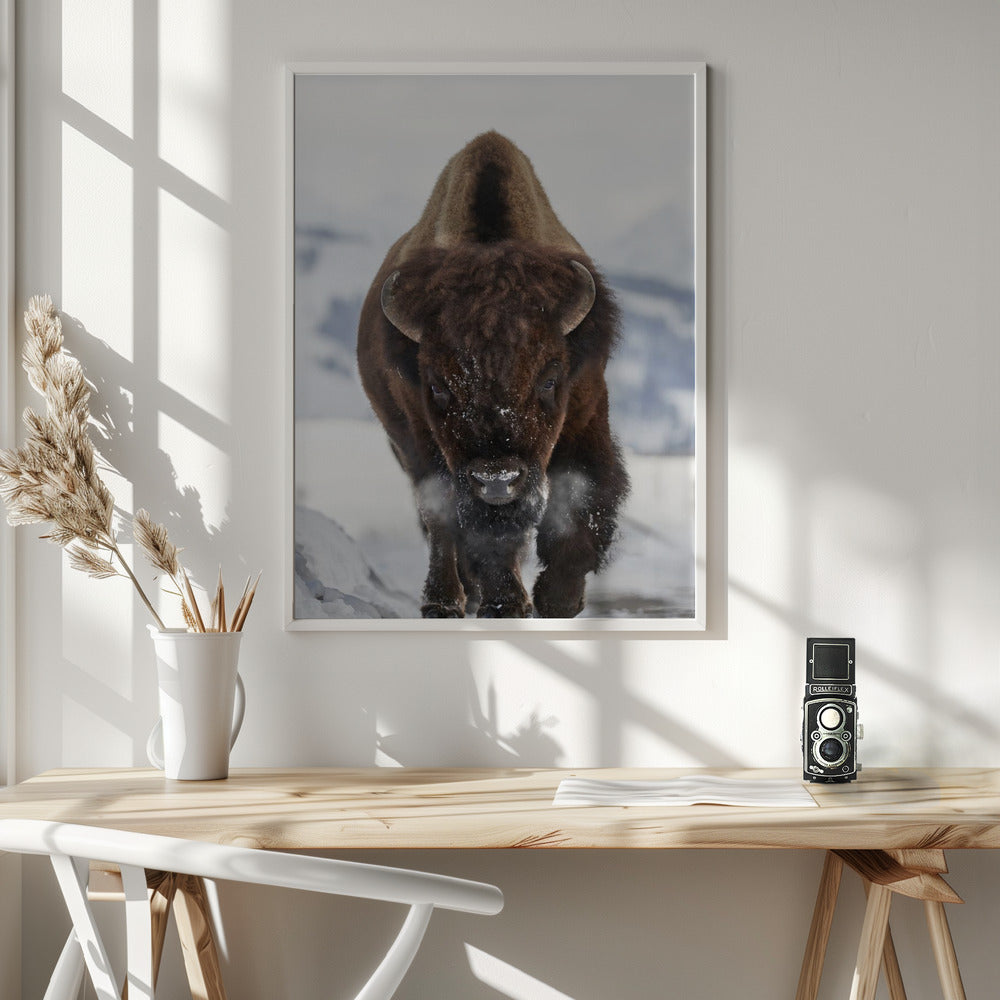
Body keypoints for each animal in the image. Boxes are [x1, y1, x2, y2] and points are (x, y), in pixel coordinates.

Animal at [357, 131, 629, 618]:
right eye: (438, 387)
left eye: (550, 380)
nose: (497, 479)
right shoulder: (425, 441)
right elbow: (464, 524)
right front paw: (505, 603)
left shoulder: (586, 412)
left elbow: (582, 498)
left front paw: (558, 599)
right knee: (440, 524)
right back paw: (445, 602)